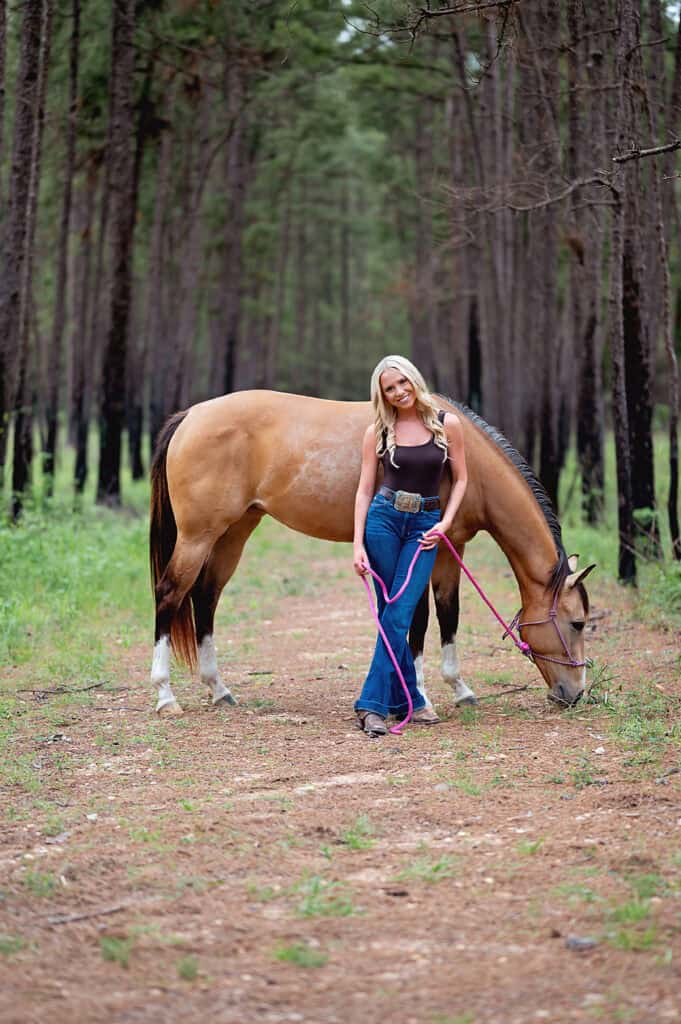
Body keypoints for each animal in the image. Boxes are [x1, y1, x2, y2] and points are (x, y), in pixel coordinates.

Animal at [147, 387, 589, 716]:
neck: (470, 462)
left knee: (206, 597)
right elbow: (419, 620)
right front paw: (421, 697)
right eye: (579, 623)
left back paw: (218, 689)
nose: (576, 693)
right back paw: (166, 696)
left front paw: (460, 689)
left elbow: (449, 613)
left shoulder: (450, 546)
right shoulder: (424, 550)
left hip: (234, 531)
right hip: (198, 536)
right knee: (169, 595)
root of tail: (191, 415)